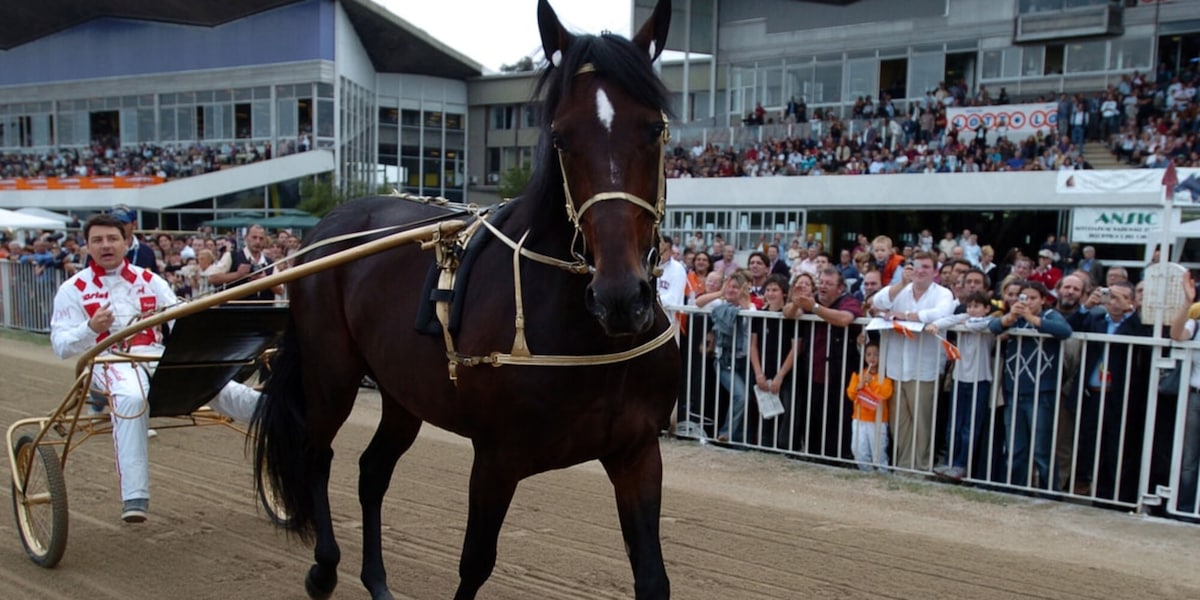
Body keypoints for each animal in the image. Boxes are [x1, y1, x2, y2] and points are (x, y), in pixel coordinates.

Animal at [251, 1, 680, 598]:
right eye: (561, 137)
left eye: (653, 128)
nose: (620, 297)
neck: (588, 343)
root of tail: (326, 227)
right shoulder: (497, 457)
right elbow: (475, 562)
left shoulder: (637, 453)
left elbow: (653, 578)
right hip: (331, 372)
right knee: (318, 454)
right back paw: (324, 567)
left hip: (401, 391)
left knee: (372, 472)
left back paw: (376, 580)